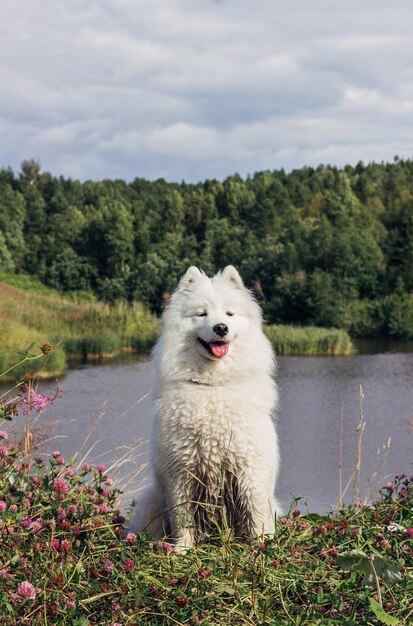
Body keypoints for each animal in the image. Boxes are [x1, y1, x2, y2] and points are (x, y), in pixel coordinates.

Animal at [132, 266, 280, 548]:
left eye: (229, 314)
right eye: (202, 314)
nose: (221, 328)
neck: (213, 385)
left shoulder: (249, 468)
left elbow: (255, 513)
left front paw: (261, 545)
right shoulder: (181, 471)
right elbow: (182, 516)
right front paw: (183, 549)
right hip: (149, 504)